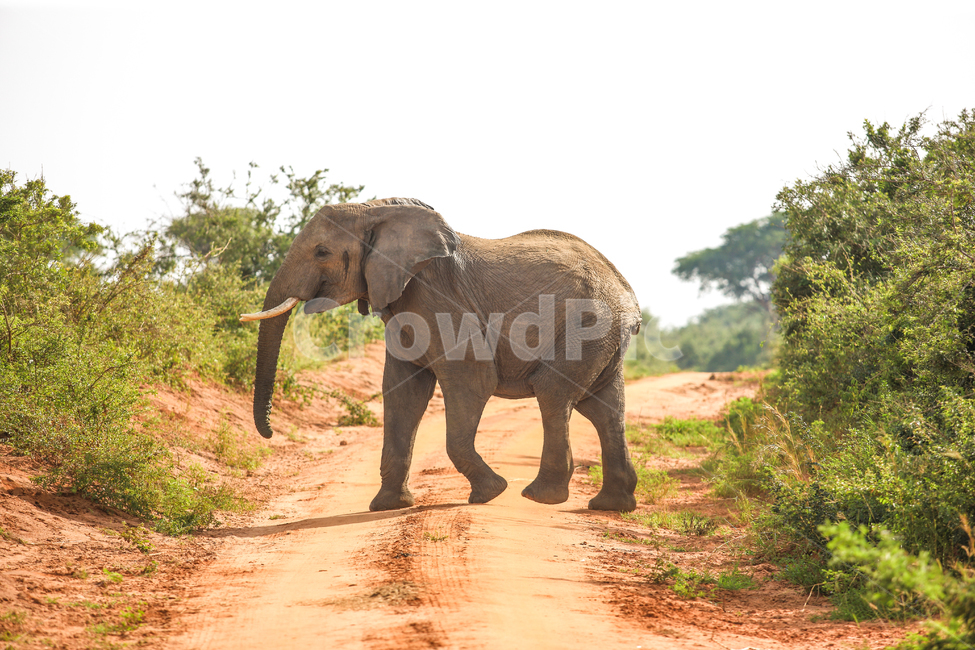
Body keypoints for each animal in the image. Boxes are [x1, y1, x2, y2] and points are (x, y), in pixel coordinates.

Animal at [241, 197, 641, 512]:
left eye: (321, 252)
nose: (270, 434)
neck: (377, 211)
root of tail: (627, 295)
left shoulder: (436, 296)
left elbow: (472, 378)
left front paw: (490, 493)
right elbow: (403, 392)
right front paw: (388, 506)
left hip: (586, 324)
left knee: (554, 392)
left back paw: (539, 497)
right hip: (603, 337)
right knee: (604, 407)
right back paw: (610, 505)